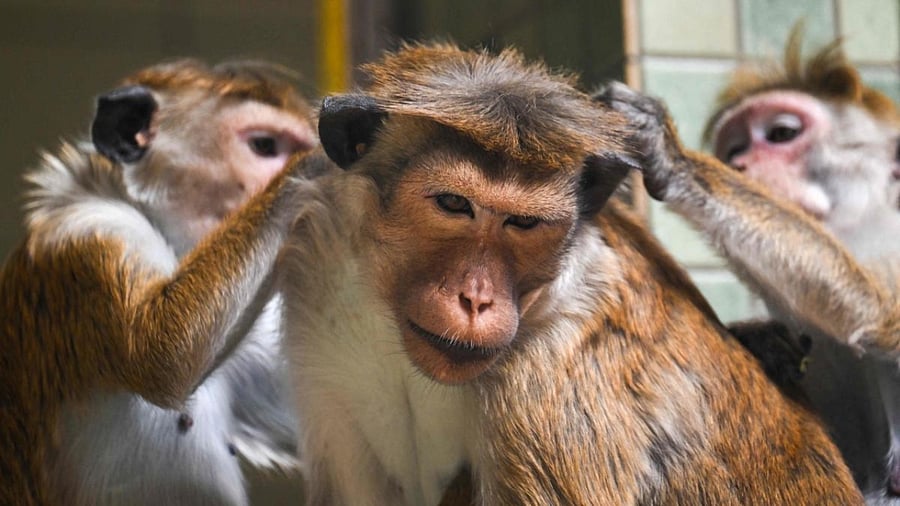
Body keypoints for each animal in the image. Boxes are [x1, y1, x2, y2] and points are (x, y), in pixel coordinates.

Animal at [593, 32, 900, 502]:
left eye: (782, 133)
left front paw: (674, 157)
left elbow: (878, 314)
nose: (738, 164)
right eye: (735, 148)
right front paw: (761, 337)